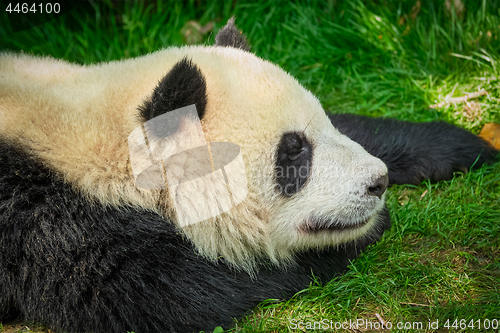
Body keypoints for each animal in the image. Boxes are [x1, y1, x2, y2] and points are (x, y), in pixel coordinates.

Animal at [0, 18, 496, 332]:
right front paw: (352, 241)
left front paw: (459, 144)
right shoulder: (51, 222)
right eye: (292, 153)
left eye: (320, 128)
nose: (378, 182)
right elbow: (173, 293)